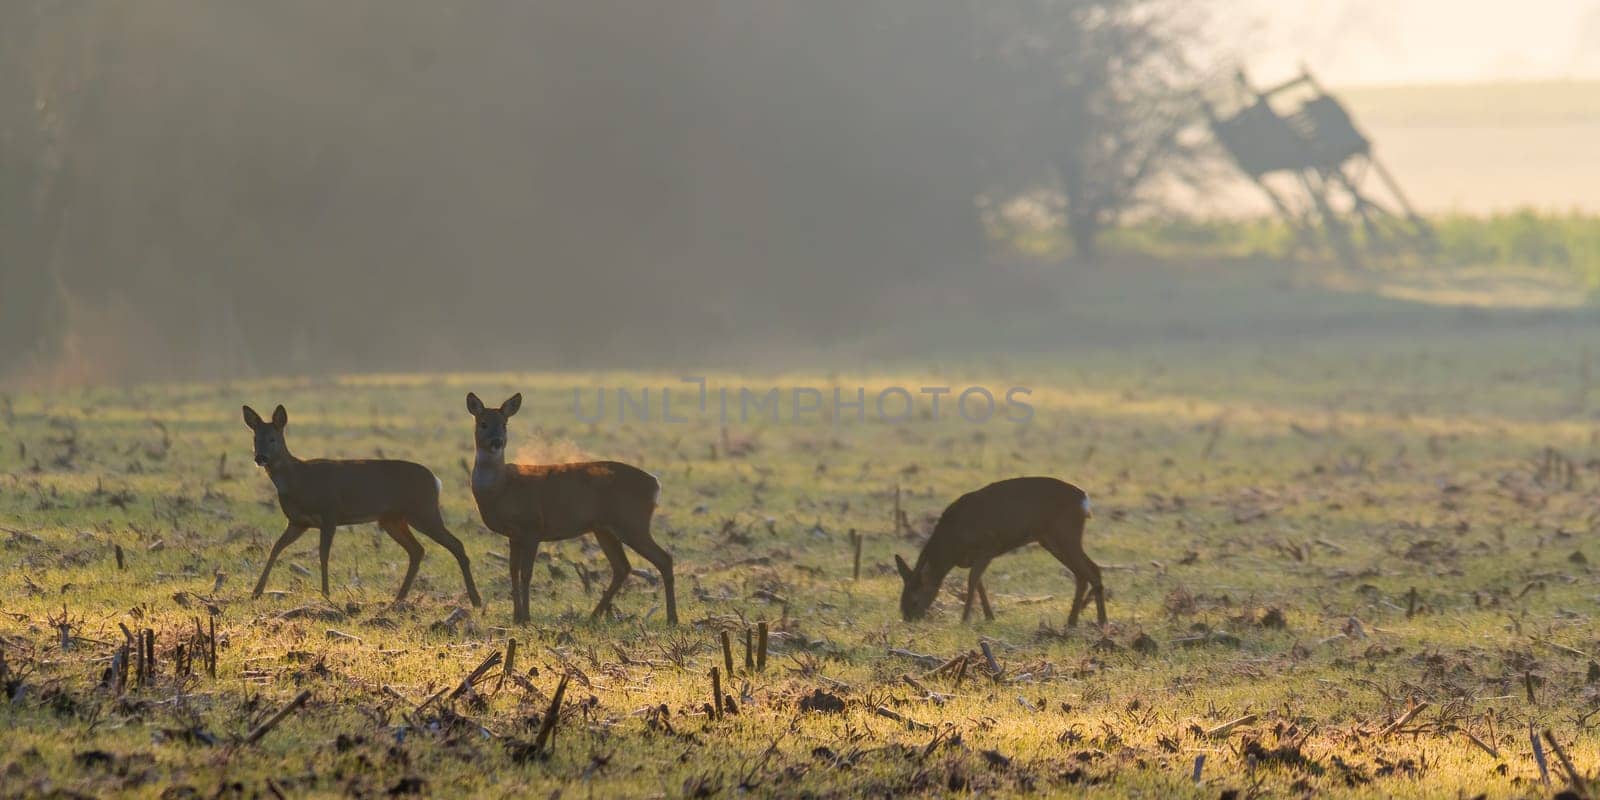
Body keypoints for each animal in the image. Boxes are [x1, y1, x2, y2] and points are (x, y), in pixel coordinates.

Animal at [241, 406, 480, 604]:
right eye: (255, 438)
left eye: (273, 439)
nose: (260, 457)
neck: (298, 479)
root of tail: (435, 481)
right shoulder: (298, 522)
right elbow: (276, 548)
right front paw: (256, 591)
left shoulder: (330, 512)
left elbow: (323, 553)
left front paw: (326, 593)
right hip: (393, 518)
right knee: (417, 550)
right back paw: (399, 598)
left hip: (423, 510)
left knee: (455, 544)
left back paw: (475, 599)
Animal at [464, 393, 675, 624]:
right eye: (483, 423)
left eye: (504, 424)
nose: (497, 442)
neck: (501, 488)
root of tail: (655, 484)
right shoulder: (514, 534)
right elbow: (512, 570)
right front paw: (516, 616)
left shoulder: (532, 527)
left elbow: (526, 573)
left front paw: (526, 617)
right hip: (605, 528)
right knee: (622, 567)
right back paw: (594, 615)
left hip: (632, 522)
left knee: (664, 559)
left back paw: (672, 618)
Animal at [896, 473, 1107, 624]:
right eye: (901, 599)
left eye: (915, 600)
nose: (908, 619)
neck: (952, 546)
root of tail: (1084, 499)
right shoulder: (976, 557)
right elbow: (979, 582)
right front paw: (989, 617)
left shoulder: (987, 547)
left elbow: (972, 580)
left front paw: (965, 619)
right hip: (1051, 540)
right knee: (1083, 573)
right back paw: (1072, 621)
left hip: (1065, 533)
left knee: (1092, 570)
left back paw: (1101, 621)